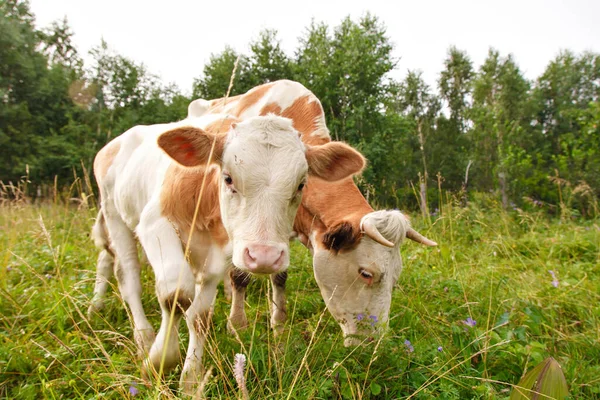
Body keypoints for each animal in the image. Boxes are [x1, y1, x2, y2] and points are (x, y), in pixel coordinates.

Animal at [86, 113, 364, 394]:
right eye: (229, 178)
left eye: (301, 185)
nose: (264, 256)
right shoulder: (155, 224)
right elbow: (176, 295)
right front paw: (159, 360)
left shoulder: (221, 255)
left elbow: (200, 316)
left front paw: (191, 379)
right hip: (114, 215)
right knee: (128, 276)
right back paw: (142, 336)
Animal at [190, 79, 438, 346]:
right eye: (366, 273)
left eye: (396, 277)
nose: (374, 342)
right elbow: (240, 275)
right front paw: (237, 328)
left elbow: (280, 277)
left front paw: (279, 328)